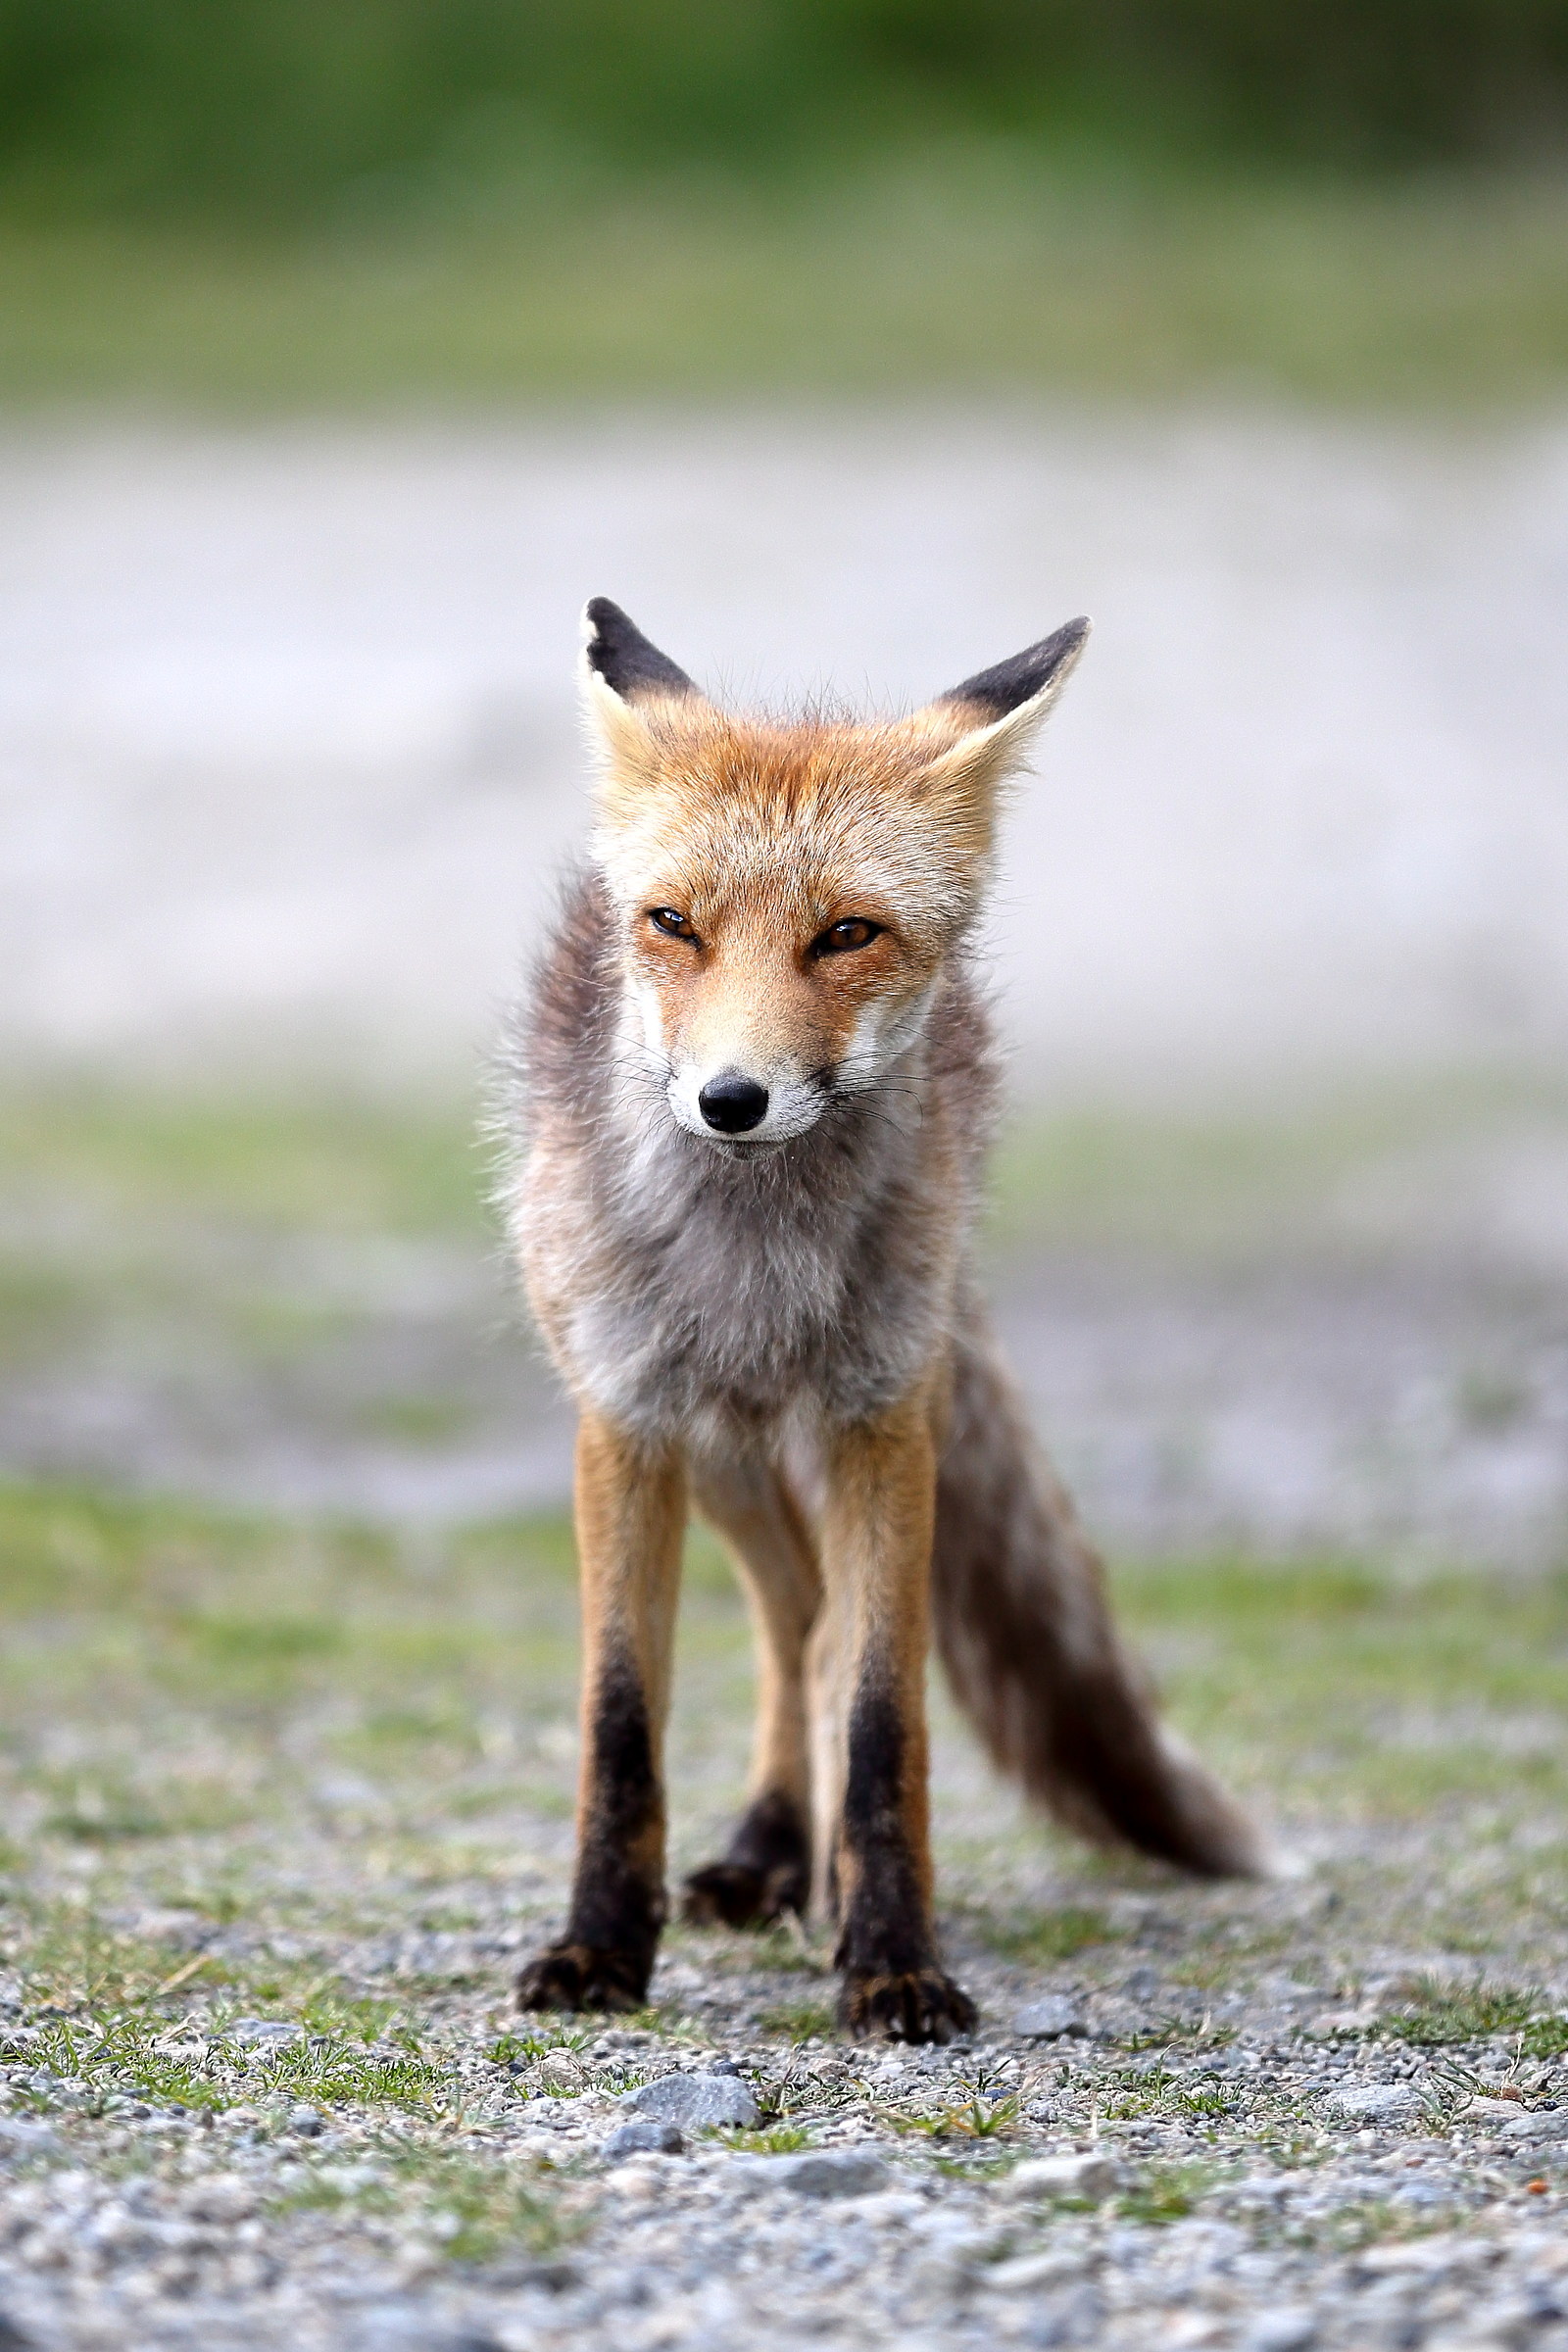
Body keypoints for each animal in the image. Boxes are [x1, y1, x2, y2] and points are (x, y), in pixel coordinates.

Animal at [499, 597, 1265, 2044]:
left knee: (816, 1627)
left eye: (848, 934)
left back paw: (794, 1865)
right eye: (673, 923)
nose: (730, 1100)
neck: (760, 1261)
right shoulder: (625, 1420)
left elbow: (880, 1720)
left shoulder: (883, 1415)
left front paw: (892, 1959)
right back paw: (766, 1853)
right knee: (791, 1611)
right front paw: (598, 1950)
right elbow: (619, 1722)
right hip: (723, 1448)